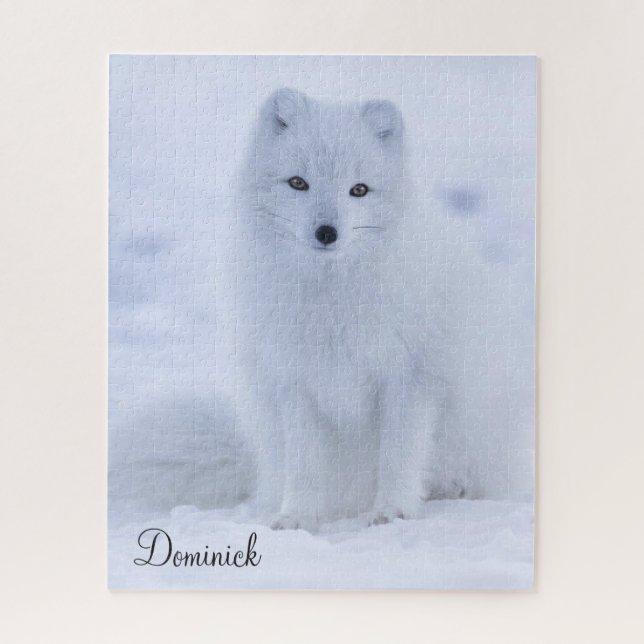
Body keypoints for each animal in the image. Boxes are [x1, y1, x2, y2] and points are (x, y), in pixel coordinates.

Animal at [235, 88, 465, 531]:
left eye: (359, 190)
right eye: (298, 183)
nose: (327, 232)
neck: (334, 301)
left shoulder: (410, 375)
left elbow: (398, 453)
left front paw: (393, 512)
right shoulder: (296, 382)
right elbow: (304, 462)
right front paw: (297, 517)